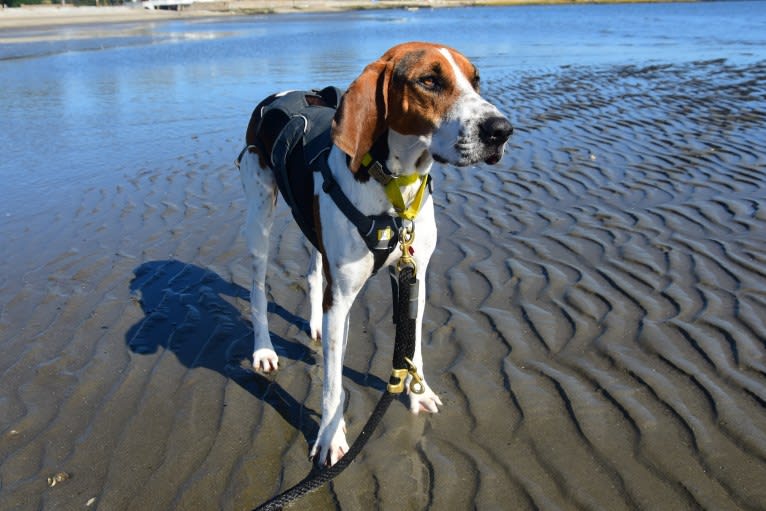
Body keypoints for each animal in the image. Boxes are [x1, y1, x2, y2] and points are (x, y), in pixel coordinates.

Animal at [238, 43, 516, 468]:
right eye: (429, 80)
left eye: (476, 79)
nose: (501, 130)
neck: (395, 191)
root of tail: (274, 98)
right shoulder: (342, 300)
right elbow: (332, 384)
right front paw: (330, 438)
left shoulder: (413, 277)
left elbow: (410, 348)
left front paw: (418, 394)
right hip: (259, 218)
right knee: (257, 288)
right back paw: (264, 349)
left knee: (313, 273)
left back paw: (313, 324)